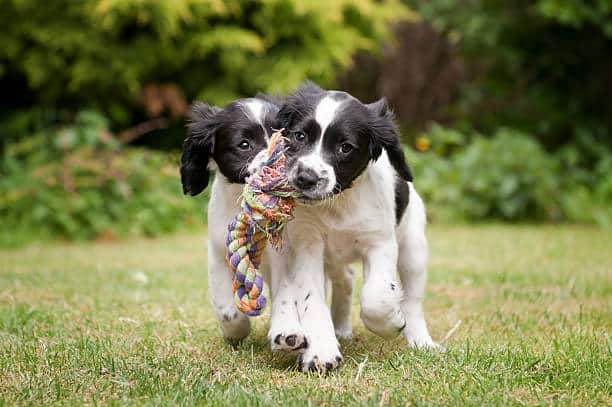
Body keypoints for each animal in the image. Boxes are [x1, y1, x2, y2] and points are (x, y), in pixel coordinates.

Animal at [270, 84, 438, 374]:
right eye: (300, 135)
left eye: (345, 147)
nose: (305, 178)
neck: (338, 203)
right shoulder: (307, 244)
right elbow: (312, 300)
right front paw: (322, 352)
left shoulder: (380, 243)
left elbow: (376, 297)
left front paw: (392, 321)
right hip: (332, 257)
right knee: (346, 279)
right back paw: (340, 329)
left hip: (413, 248)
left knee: (413, 299)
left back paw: (421, 341)